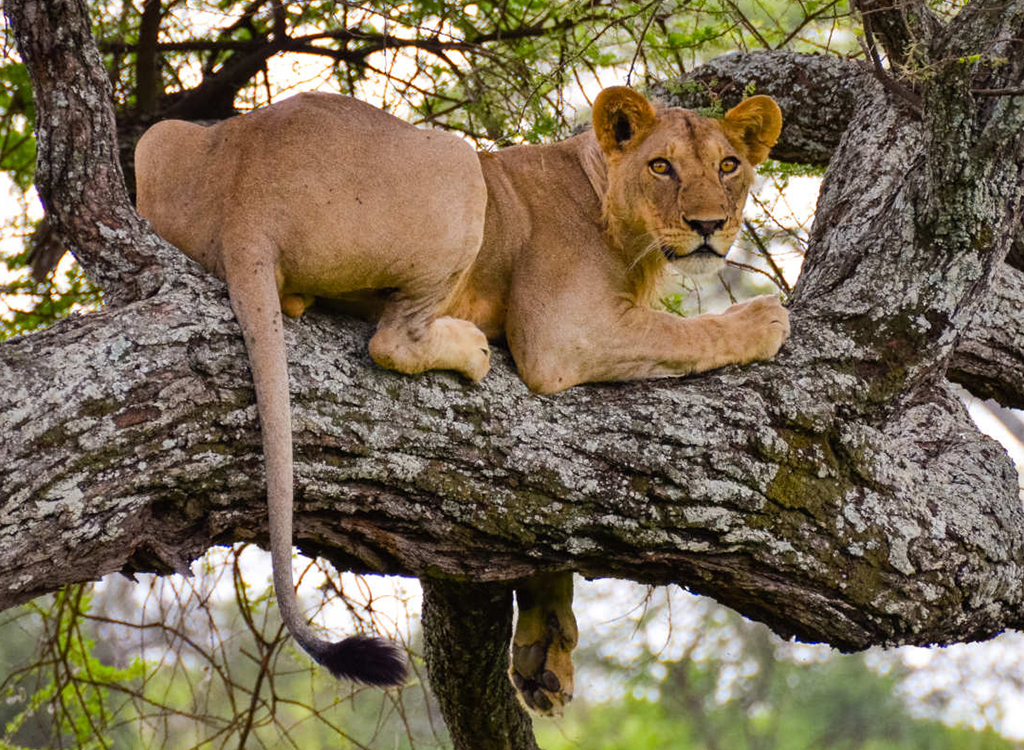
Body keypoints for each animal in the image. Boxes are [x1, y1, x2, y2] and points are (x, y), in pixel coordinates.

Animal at [134, 86, 787, 715]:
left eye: (728, 165)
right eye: (661, 166)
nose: (709, 225)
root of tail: (245, 200)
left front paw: (545, 652)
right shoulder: (562, 336)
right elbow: (682, 332)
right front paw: (764, 320)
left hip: (155, 140)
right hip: (459, 165)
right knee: (393, 337)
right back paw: (471, 348)